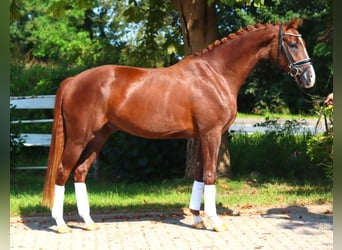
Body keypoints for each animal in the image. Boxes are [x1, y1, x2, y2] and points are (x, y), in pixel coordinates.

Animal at [42, 18, 316, 233]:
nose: (310, 78)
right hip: (79, 137)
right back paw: (61, 224)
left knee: (80, 172)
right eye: (292, 44)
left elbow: (199, 175)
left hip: (99, 136)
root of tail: (73, 80)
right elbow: (210, 175)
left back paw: (88, 222)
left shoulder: (202, 136)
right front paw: (215, 222)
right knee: (63, 171)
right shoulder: (212, 135)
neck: (215, 74)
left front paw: (196, 219)